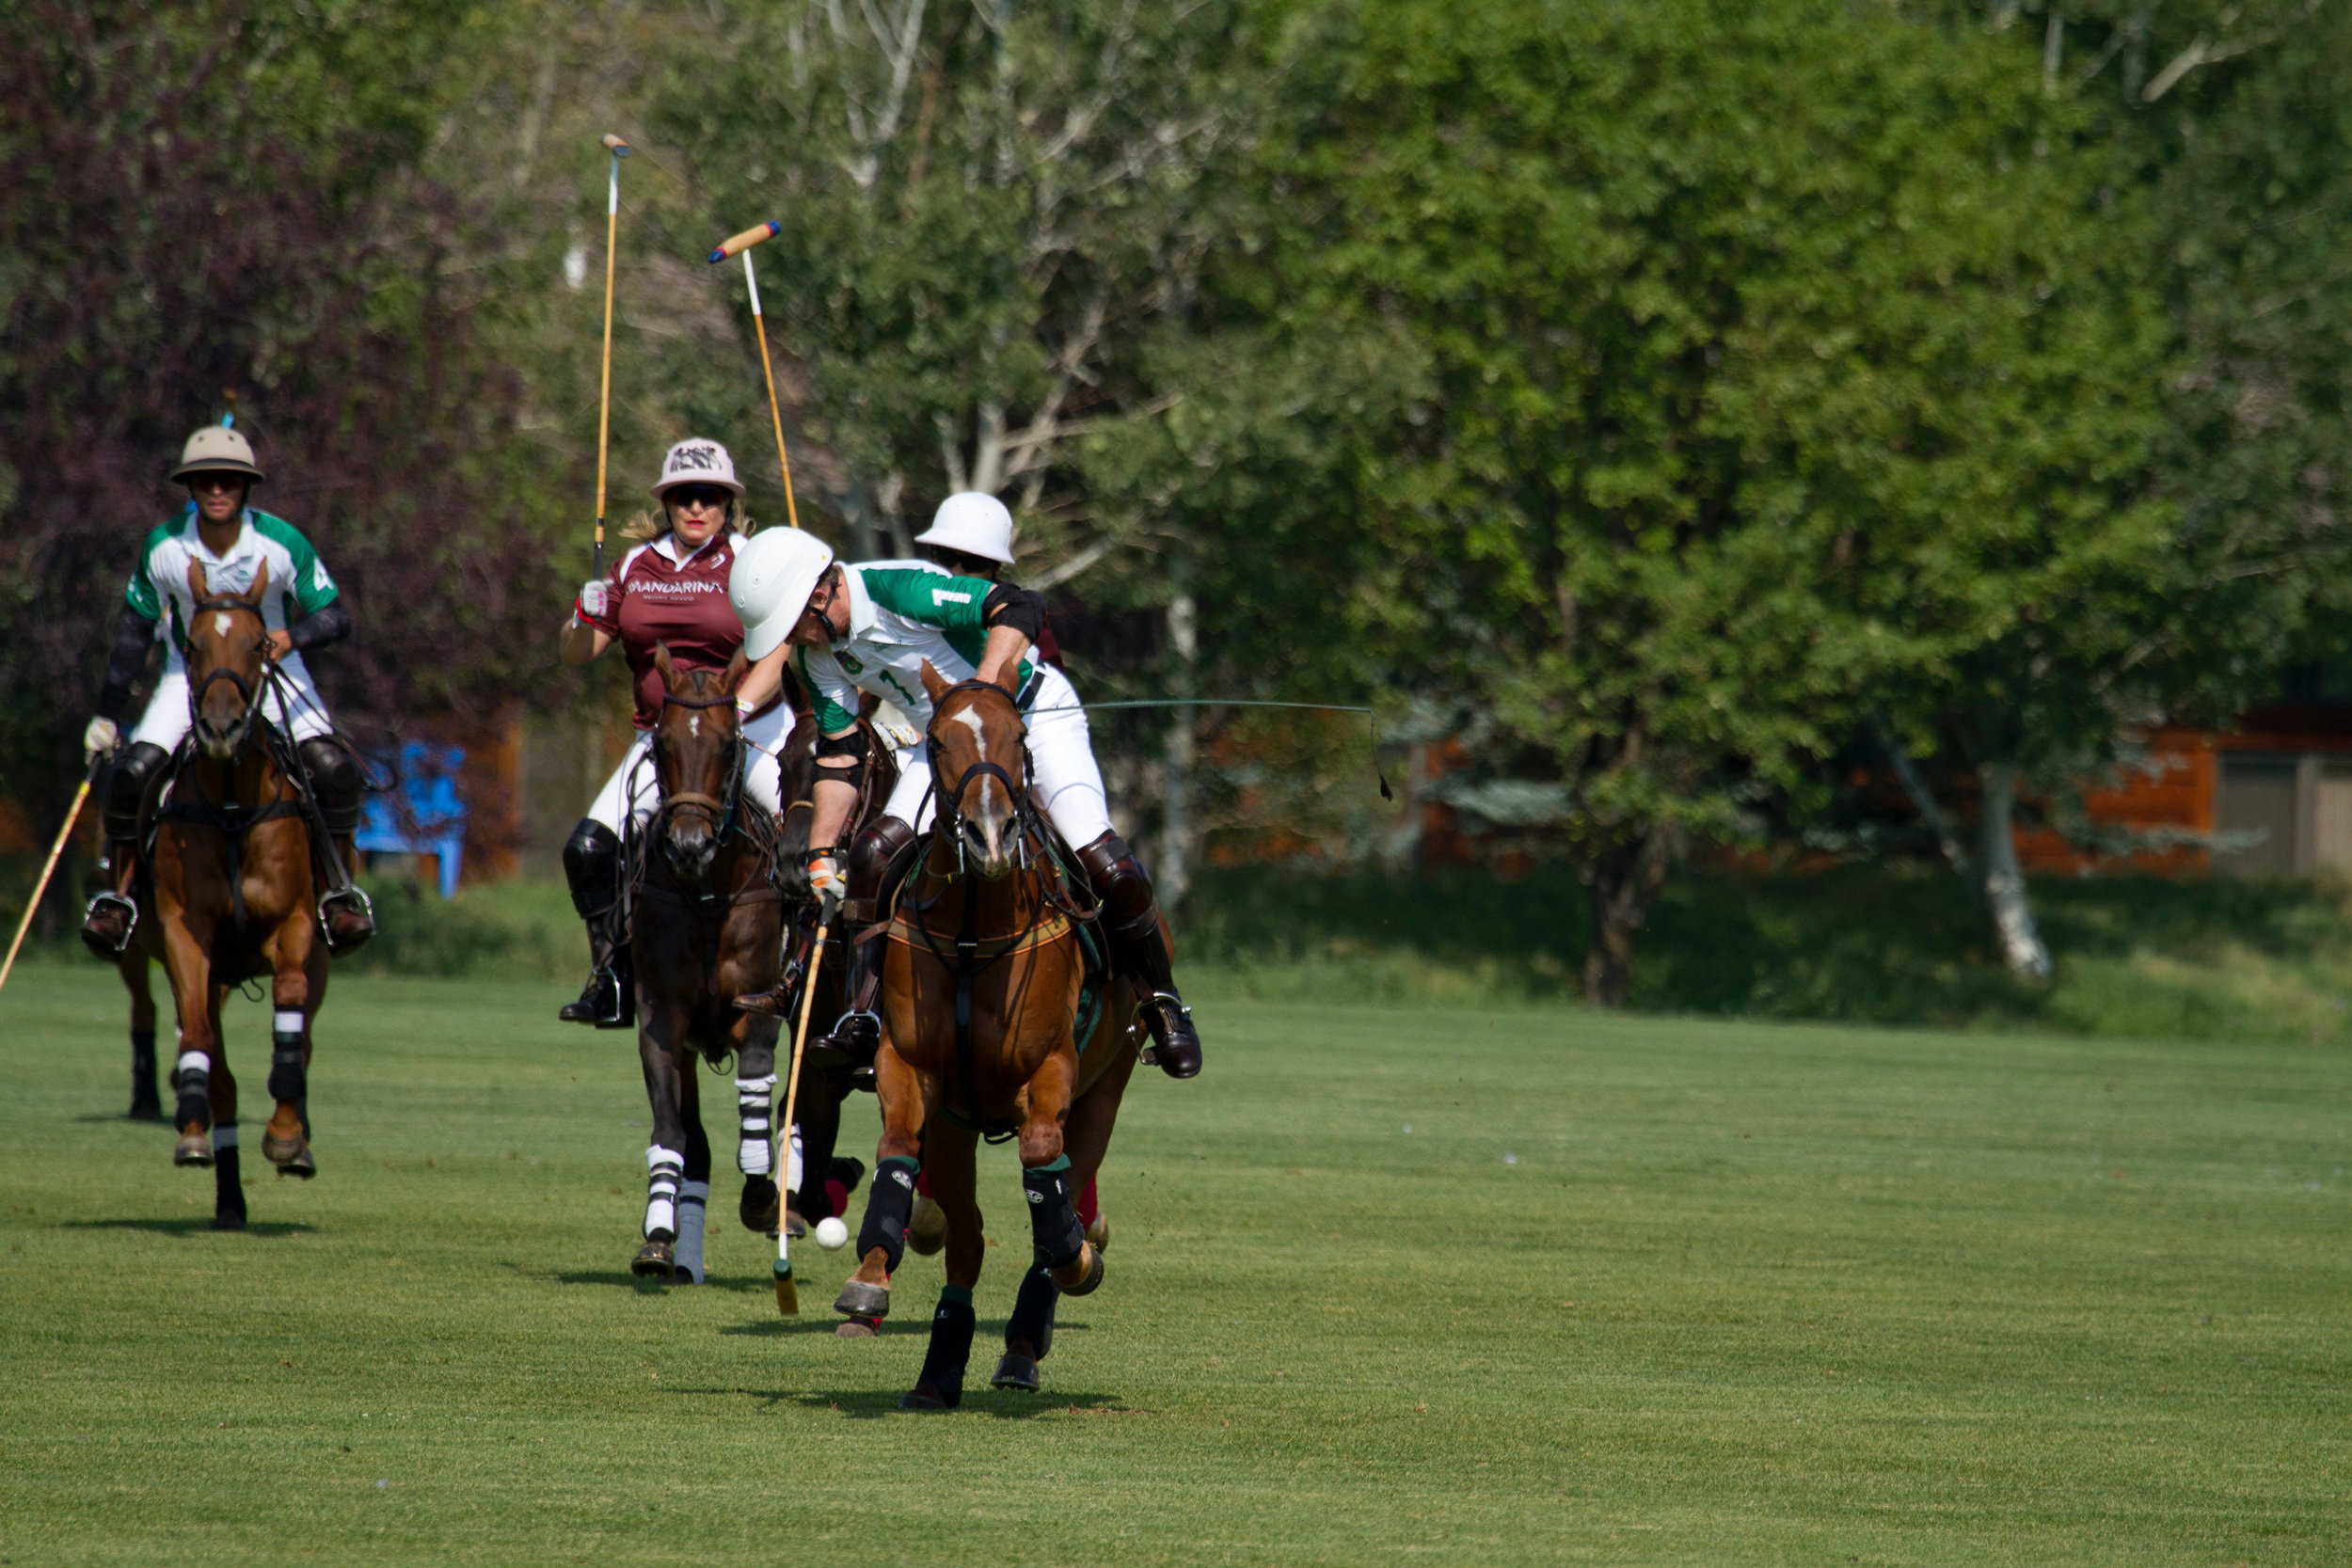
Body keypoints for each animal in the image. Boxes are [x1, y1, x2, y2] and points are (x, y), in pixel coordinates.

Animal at [151, 562, 336, 1222]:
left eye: (259, 646)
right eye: (192, 646)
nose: (222, 728)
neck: (233, 805)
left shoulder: (296, 924)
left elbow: (290, 1013)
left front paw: (285, 1136)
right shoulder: (184, 933)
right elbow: (198, 1037)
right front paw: (191, 1129)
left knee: (305, 1038)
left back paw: (297, 1139)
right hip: (215, 973)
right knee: (219, 1069)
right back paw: (225, 1190)